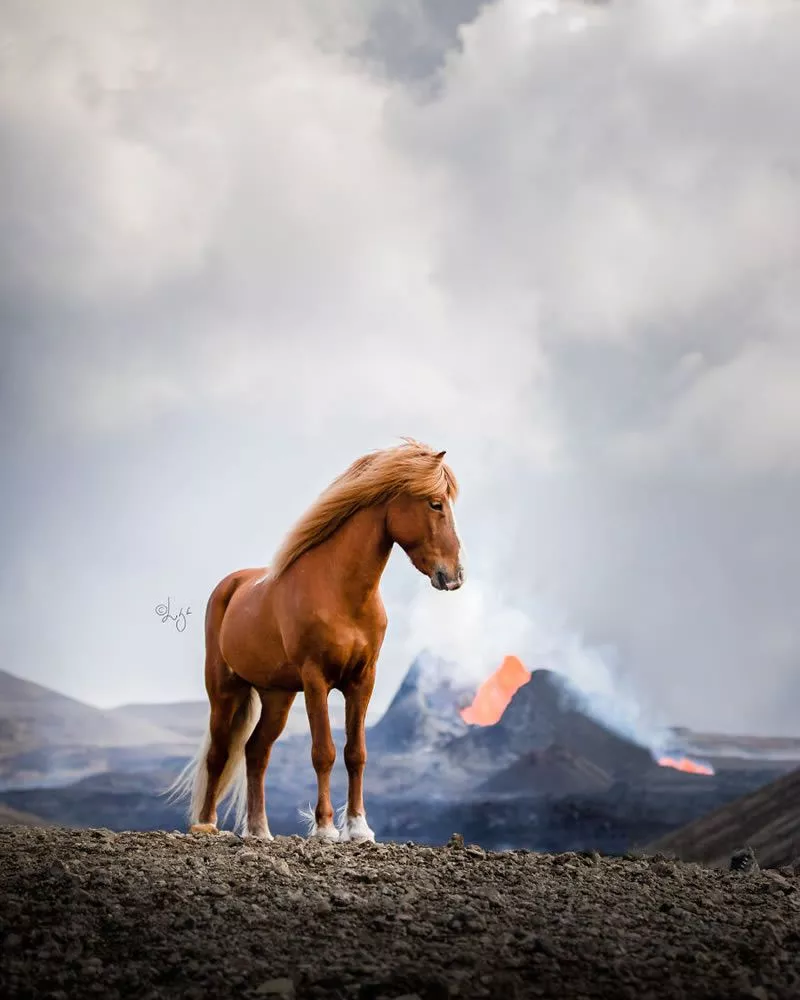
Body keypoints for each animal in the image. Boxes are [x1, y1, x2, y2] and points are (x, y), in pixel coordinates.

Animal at [166, 439, 464, 843]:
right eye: (435, 503)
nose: (455, 575)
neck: (341, 592)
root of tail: (231, 585)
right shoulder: (315, 679)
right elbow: (323, 751)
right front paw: (325, 829)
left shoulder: (362, 681)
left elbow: (356, 753)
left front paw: (359, 828)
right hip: (225, 689)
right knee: (220, 752)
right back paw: (206, 825)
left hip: (277, 695)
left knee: (256, 752)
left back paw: (259, 831)